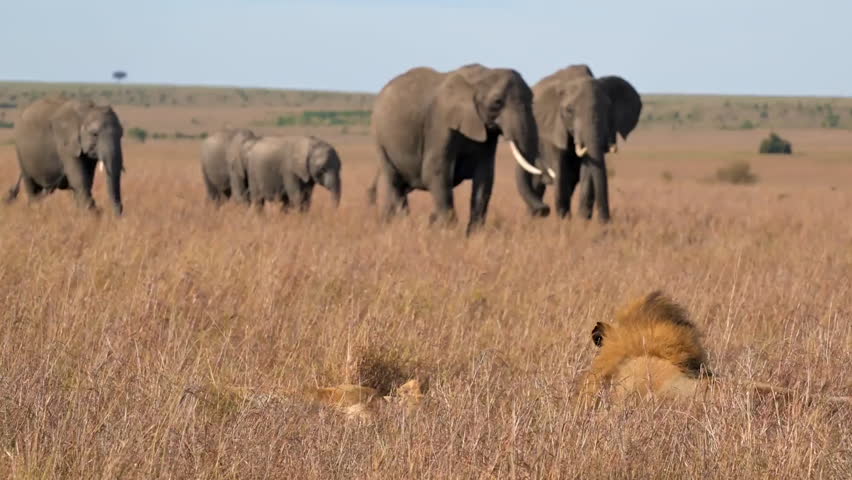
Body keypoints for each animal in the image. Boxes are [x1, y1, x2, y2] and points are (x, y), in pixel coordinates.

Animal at [369, 63, 545, 234]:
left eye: (532, 101)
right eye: (497, 102)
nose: (544, 210)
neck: (481, 76)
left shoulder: (486, 134)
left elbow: (485, 177)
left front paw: (474, 235)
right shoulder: (440, 124)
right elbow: (435, 171)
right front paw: (447, 234)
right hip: (380, 138)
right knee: (394, 183)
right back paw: (403, 227)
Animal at [516, 64, 641, 221]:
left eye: (608, 108)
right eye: (569, 110)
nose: (606, 221)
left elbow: (588, 170)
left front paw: (582, 222)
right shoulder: (553, 130)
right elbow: (560, 170)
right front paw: (564, 222)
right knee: (537, 184)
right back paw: (533, 218)